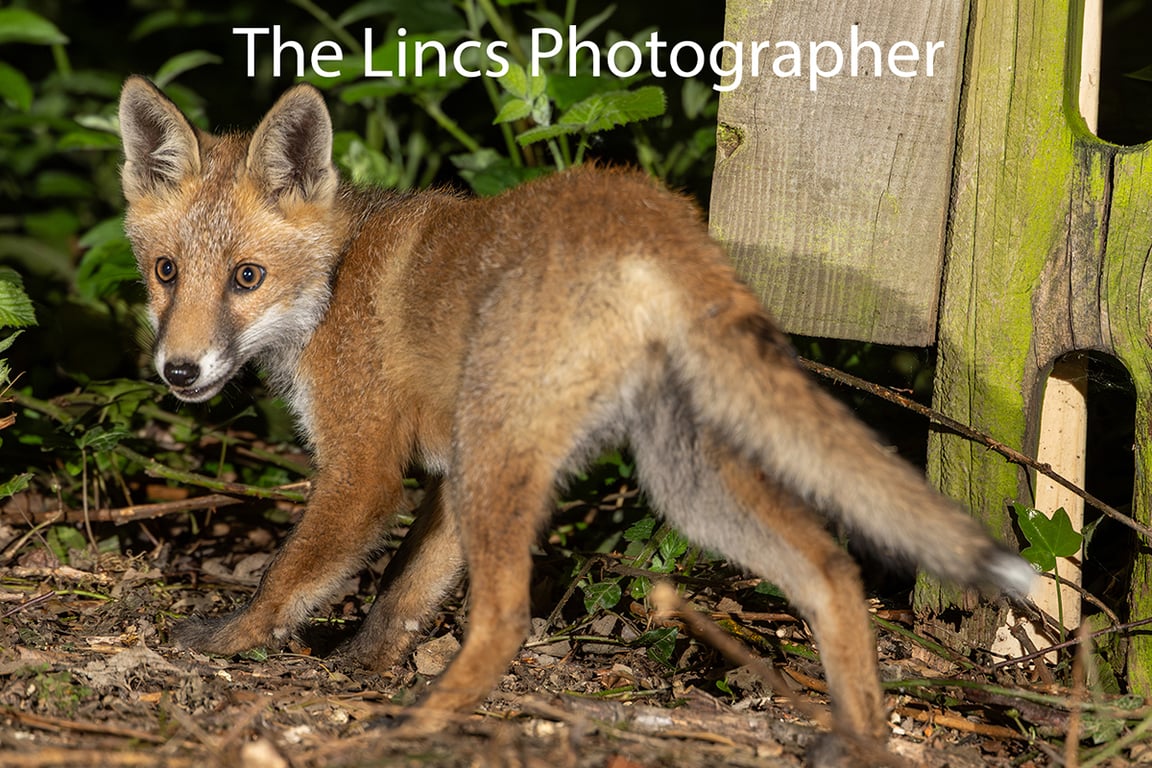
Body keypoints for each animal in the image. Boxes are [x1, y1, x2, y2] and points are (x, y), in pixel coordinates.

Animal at [118, 75, 1034, 763]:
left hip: (513, 452)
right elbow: (403, 594)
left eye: (246, 276)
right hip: (673, 477)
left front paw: (230, 641)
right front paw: (362, 665)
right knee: (828, 566)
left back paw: (419, 725)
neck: (334, 281)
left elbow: (287, 578)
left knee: (505, 622)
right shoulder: (447, 477)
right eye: (166, 271)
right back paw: (863, 735)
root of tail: (648, 209)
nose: (179, 371)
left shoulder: (366, 468)